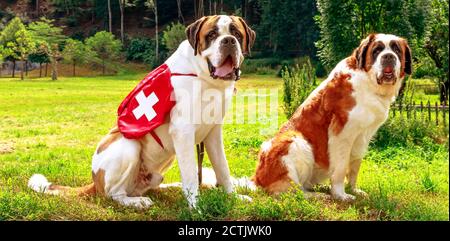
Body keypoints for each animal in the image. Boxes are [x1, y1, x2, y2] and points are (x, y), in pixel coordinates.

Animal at [28, 15, 255, 210]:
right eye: (211, 35)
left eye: (236, 33)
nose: (228, 41)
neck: (205, 78)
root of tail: (94, 182)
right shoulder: (183, 133)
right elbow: (191, 175)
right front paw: (196, 208)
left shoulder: (213, 133)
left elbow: (222, 168)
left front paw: (232, 196)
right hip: (128, 147)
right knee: (113, 194)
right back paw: (136, 202)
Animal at [253, 33, 412, 201]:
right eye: (377, 50)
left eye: (396, 50)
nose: (388, 56)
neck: (368, 83)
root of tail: (256, 179)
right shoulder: (342, 133)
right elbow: (341, 166)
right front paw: (341, 194)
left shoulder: (363, 136)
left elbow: (355, 165)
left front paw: (354, 190)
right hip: (296, 141)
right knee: (291, 190)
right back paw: (317, 195)